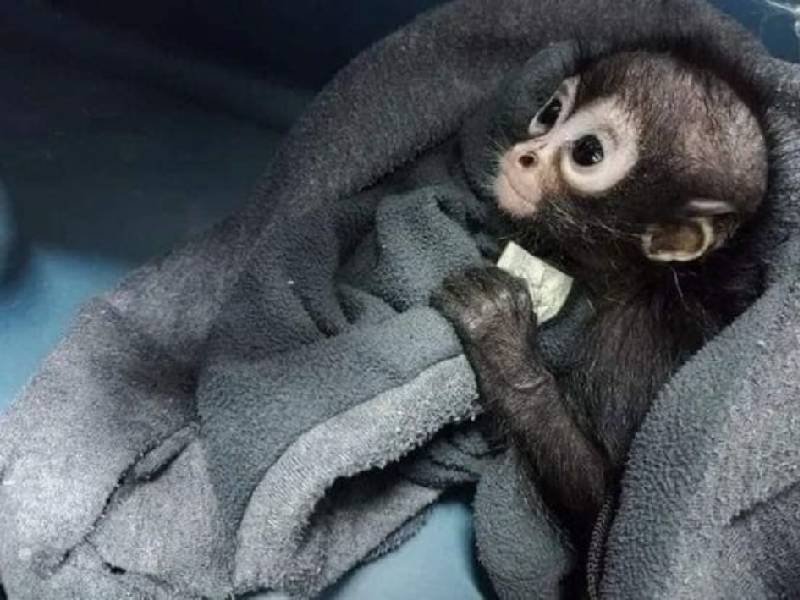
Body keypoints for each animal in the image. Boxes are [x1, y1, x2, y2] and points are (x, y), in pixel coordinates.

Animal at [433, 44, 769, 587]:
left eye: (588, 153)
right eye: (551, 112)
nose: (526, 154)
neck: (645, 281)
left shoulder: (633, 347)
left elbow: (599, 502)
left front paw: (502, 345)